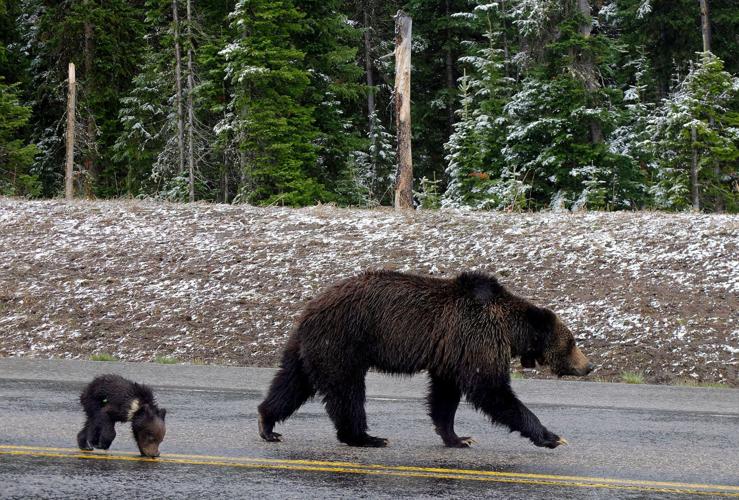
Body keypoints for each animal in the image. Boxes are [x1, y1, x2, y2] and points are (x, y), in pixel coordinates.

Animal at [258, 270, 593, 449]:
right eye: (573, 342)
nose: (589, 365)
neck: (510, 331)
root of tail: (311, 306)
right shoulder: (476, 337)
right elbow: (492, 391)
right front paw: (551, 436)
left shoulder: (452, 353)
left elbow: (445, 396)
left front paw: (458, 437)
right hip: (343, 341)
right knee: (347, 391)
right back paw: (366, 437)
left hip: (308, 346)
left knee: (292, 382)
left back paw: (267, 424)